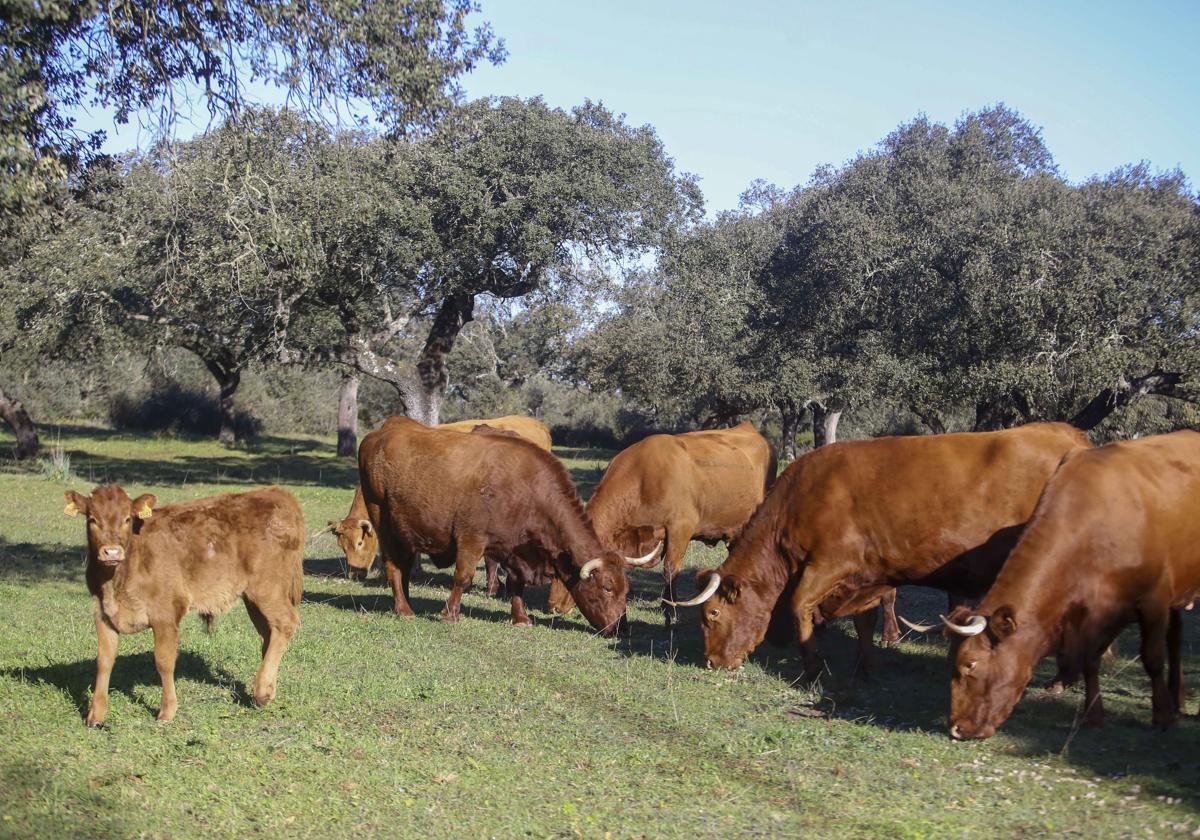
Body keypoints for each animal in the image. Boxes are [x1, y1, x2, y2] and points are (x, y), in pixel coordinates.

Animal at [63, 482, 304, 724]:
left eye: (127, 519)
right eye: (92, 519)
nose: (112, 552)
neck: (117, 580)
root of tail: (277, 493)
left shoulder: (166, 613)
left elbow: (164, 660)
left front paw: (167, 711)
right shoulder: (103, 613)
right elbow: (104, 661)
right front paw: (96, 715)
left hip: (267, 588)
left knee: (286, 623)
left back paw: (262, 690)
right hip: (253, 598)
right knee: (269, 633)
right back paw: (267, 688)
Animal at [355, 417, 657, 633]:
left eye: (626, 590)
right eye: (606, 587)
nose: (621, 627)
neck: (524, 488)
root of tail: (381, 433)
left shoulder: (515, 548)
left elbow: (516, 584)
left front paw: (520, 618)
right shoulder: (472, 539)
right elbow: (463, 577)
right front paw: (450, 614)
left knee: (404, 566)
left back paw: (404, 602)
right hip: (384, 523)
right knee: (394, 565)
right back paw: (404, 609)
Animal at [672, 422, 1094, 681]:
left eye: (711, 615)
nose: (712, 661)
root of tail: (1070, 435)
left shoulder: (829, 563)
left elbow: (798, 606)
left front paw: (813, 668)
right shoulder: (867, 574)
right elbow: (865, 620)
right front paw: (864, 668)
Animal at [945, 429, 1200, 739]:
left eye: (970, 664)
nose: (956, 727)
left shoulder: (1153, 599)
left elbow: (1152, 657)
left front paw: (1162, 716)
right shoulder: (1093, 612)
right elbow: (1090, 659)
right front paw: (1093, 714)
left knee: (1173, 643)